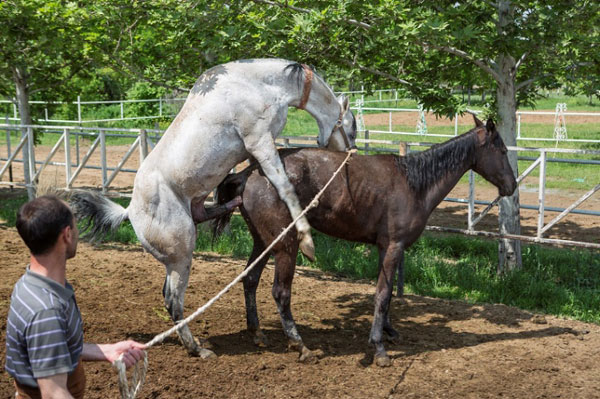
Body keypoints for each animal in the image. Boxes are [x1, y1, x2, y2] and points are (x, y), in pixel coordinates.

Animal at [214, 117, 516, 368]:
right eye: (502, 151)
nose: (512, 186)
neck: (414, 183)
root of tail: (248, 174)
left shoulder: (385, 248)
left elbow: (388, 292)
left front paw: (388, 330)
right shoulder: (393, 246)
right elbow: (382, 294)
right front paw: (379, 347)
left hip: (263, 242)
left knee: (250, 279)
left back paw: (257, 333)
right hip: (286, 246)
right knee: (280, 292)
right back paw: (300, 345)